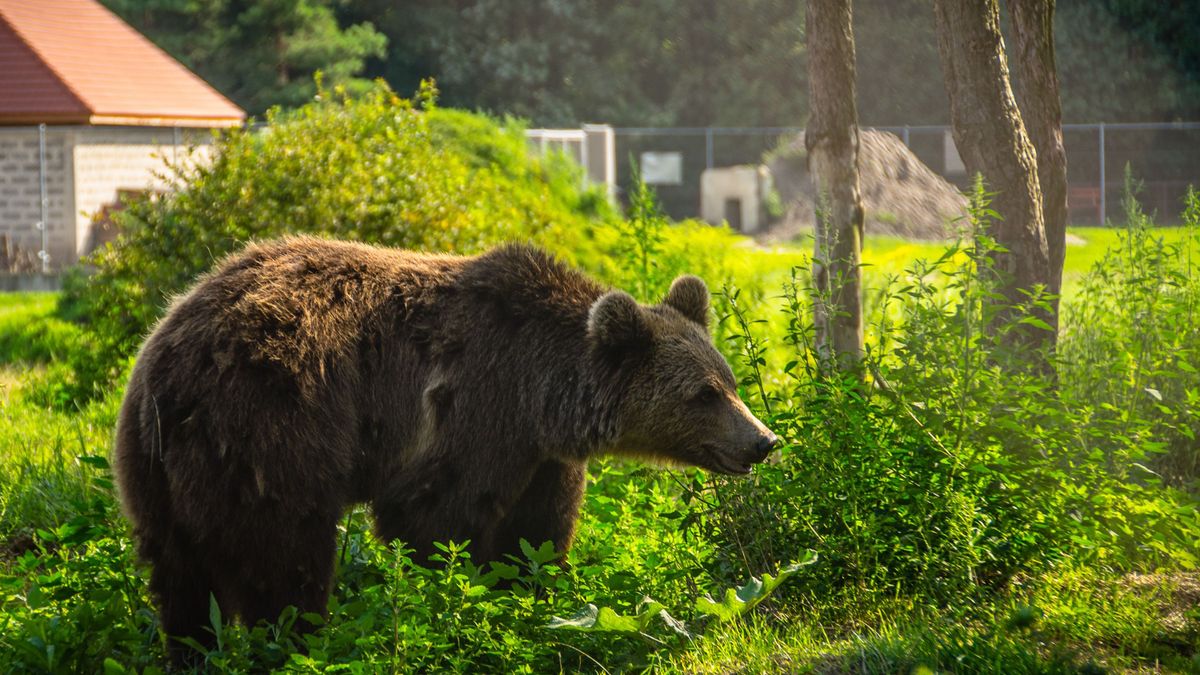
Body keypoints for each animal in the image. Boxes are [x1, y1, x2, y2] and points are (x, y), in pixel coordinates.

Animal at [114, 234, 777, 648]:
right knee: (281, 558)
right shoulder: (472, 411)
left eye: (731, 381)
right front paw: (459, 605)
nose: (762, 441)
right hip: (268, 435)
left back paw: (194, 648)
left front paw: (535, 599)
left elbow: (535, 535)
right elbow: (438, 523)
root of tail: (161, 365)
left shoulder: (538, 456)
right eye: (703, 395)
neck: (543, 394)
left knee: (179, 582)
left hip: (158, 478)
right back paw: (299, 639)